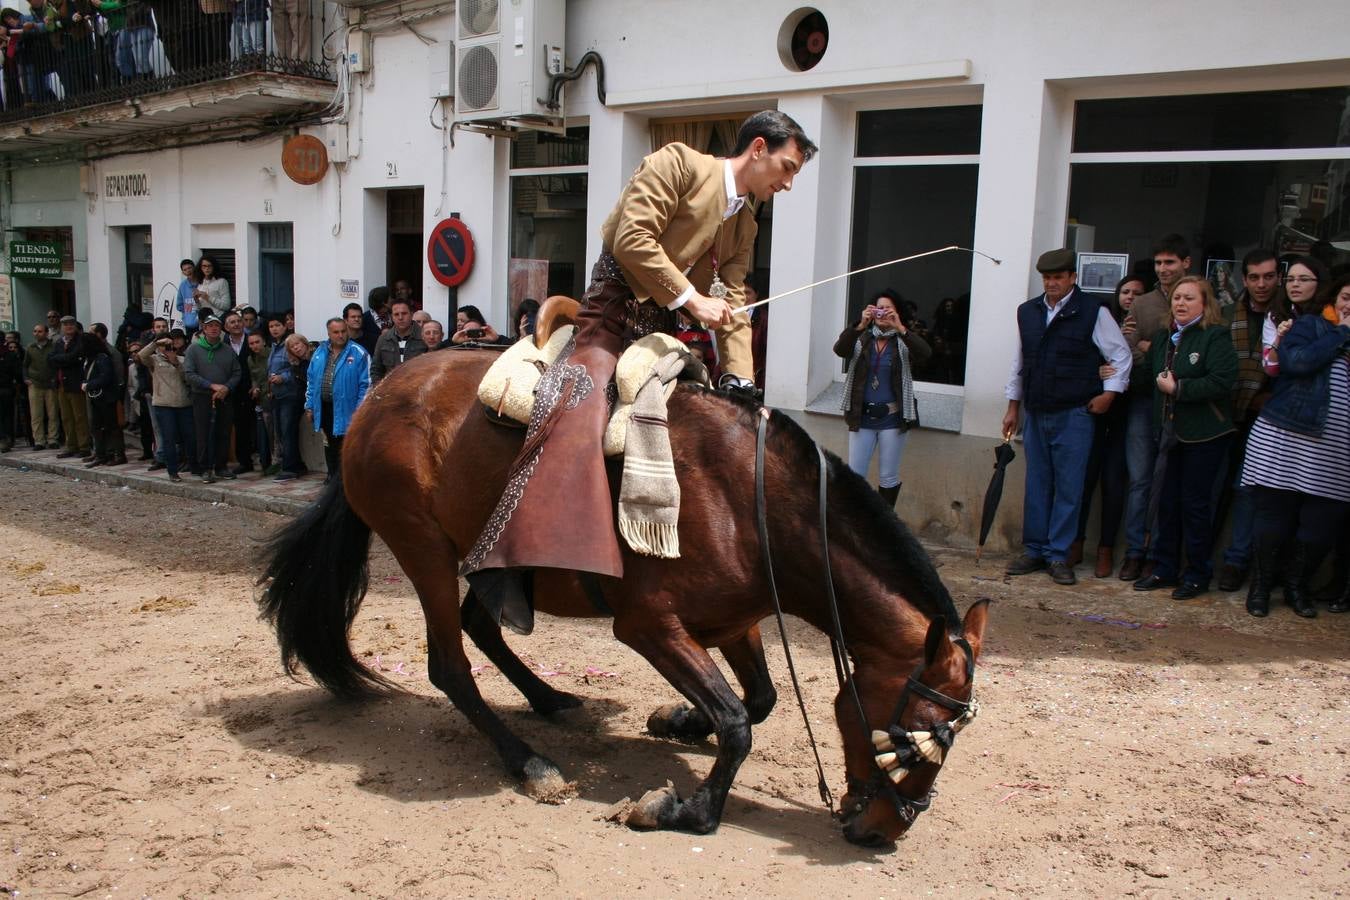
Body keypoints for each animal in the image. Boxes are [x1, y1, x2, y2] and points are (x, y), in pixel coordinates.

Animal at [255, 342, 993, 847]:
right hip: (424, 551)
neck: (745, 497)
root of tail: (377, 396)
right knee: (450, 666)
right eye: (913, 738)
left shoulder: (734, 620)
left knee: (481, 626)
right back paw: (528, 761)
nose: (885, 830)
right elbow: (735, 721)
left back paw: (549, 698)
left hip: (493, 561)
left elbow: (757, 700)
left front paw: (679, 721)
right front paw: (687, 807)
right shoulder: (649, 625)